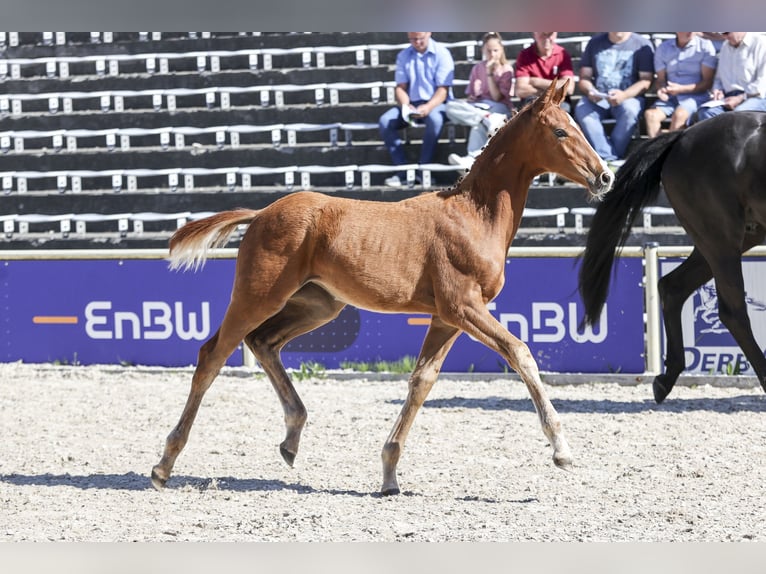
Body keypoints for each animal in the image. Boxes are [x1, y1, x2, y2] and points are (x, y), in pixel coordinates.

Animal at [151, 79, 614, 495]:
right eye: (561, 131)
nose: (605, 176)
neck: (473, 215)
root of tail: (263, 211)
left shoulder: (447, 317)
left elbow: (422, 380)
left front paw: (390, 474)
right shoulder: (464, 306)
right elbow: (520, 353)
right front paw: (562, 449)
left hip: (319, 306)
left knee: (263, 343)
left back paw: (292, 438)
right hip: (257, 296)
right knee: (213, 355)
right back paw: (164, 464)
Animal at [578, 111, 766, 404]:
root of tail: (682, 136)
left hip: (733, 237)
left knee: (674, 286)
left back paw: (665, 379)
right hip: (721, 238)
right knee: (733, 311)